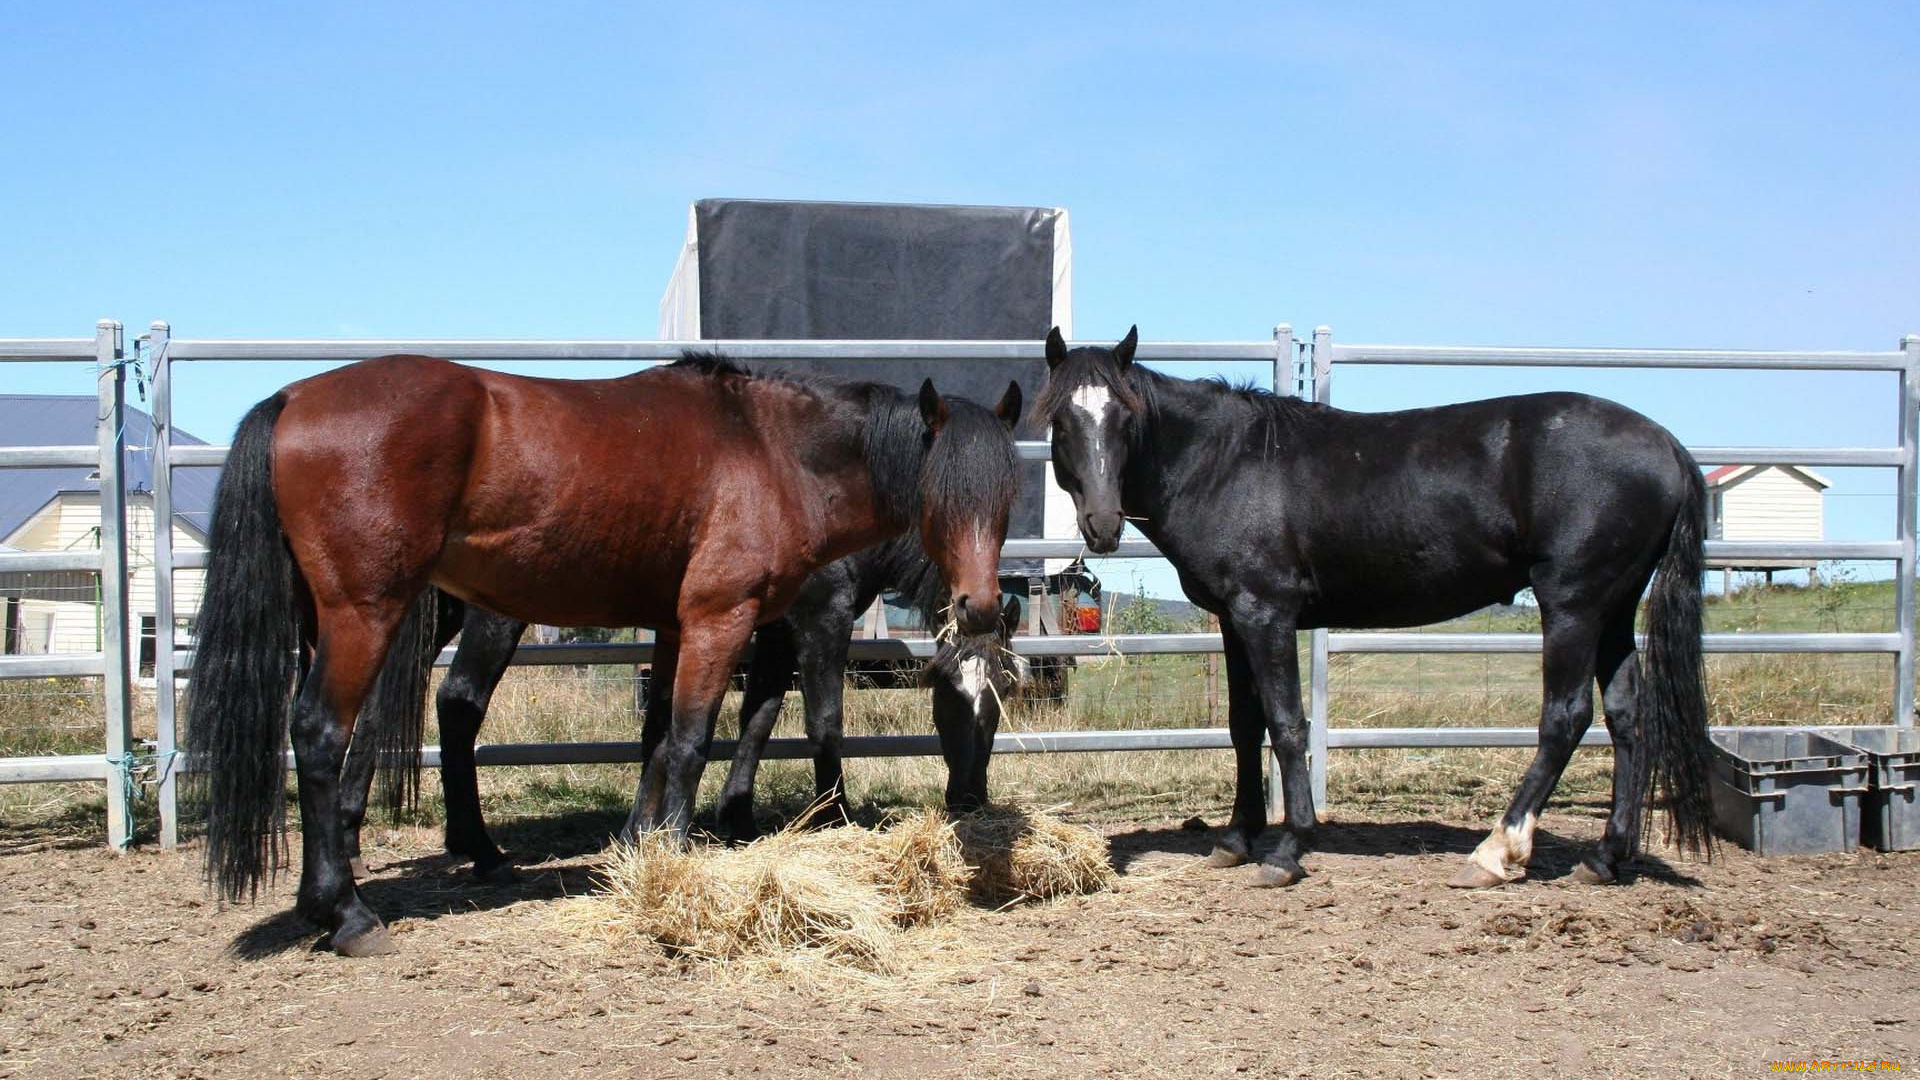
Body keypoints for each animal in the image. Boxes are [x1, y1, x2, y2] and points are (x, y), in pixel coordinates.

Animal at [341, 534, 1036, 880]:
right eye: (948, 696)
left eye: (1001, 701)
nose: (969, 798)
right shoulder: (821, 618)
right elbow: (824, 721)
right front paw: (832, 816)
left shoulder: (773, 630)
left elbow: (757, 718)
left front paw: (735, 817)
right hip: (493, 613)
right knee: (458, 702)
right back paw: (478, 847)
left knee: (374, 710)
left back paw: (355, 835)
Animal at [1036, 322, 1712, 887]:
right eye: (1063, 422)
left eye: (1125, 418)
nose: (1103, 526)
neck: (1227, 464)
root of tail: (1668, 446)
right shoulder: (1233, 620)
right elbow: (1243, 725)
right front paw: (1235, 840)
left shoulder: (1266, 614)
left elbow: (1286, 724)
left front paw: (1288, 849)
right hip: (1613, 609)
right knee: (1628, 718)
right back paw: (1604, 858)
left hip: (1572, 604)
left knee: (1565, 717)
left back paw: (1496, 853)